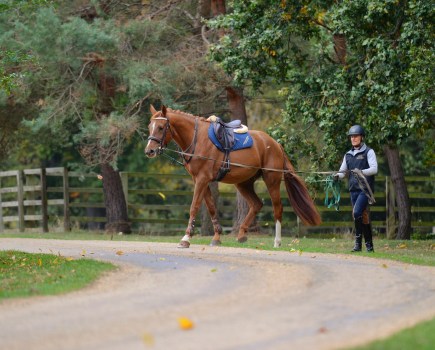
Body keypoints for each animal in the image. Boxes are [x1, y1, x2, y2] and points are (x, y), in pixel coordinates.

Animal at [146, 105, 320, 247]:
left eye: (161, 127)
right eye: (149, 126)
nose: (149, 151)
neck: (197, 139)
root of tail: (276, 144)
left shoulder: (202, 180)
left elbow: (194, 207)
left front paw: (186, 238)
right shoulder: (201, 180)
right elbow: (211, 208)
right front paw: (216, 237)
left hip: (272, 180)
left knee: (278, 208)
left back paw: (277, 242)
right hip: (243, 183)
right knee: (256, 204)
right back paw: (242, 234)